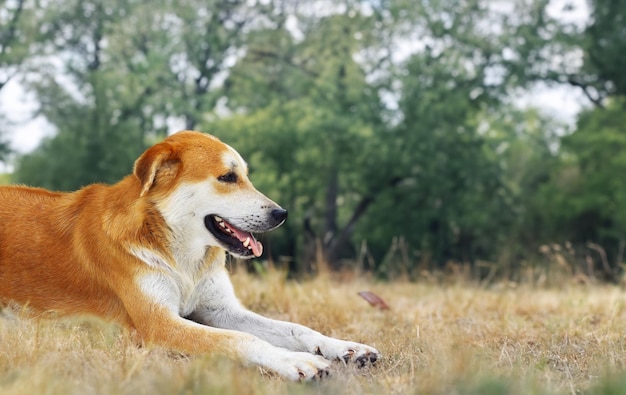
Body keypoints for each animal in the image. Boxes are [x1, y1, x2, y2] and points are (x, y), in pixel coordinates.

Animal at [0, 131, 378, 382]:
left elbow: (295, 327)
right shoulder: (158, 324)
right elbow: (239, 339)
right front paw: (295, 361)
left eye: (245, 176)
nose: (281, 214)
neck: (182, 259)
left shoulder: (220, 310)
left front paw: (344, 346)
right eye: (228, 177)